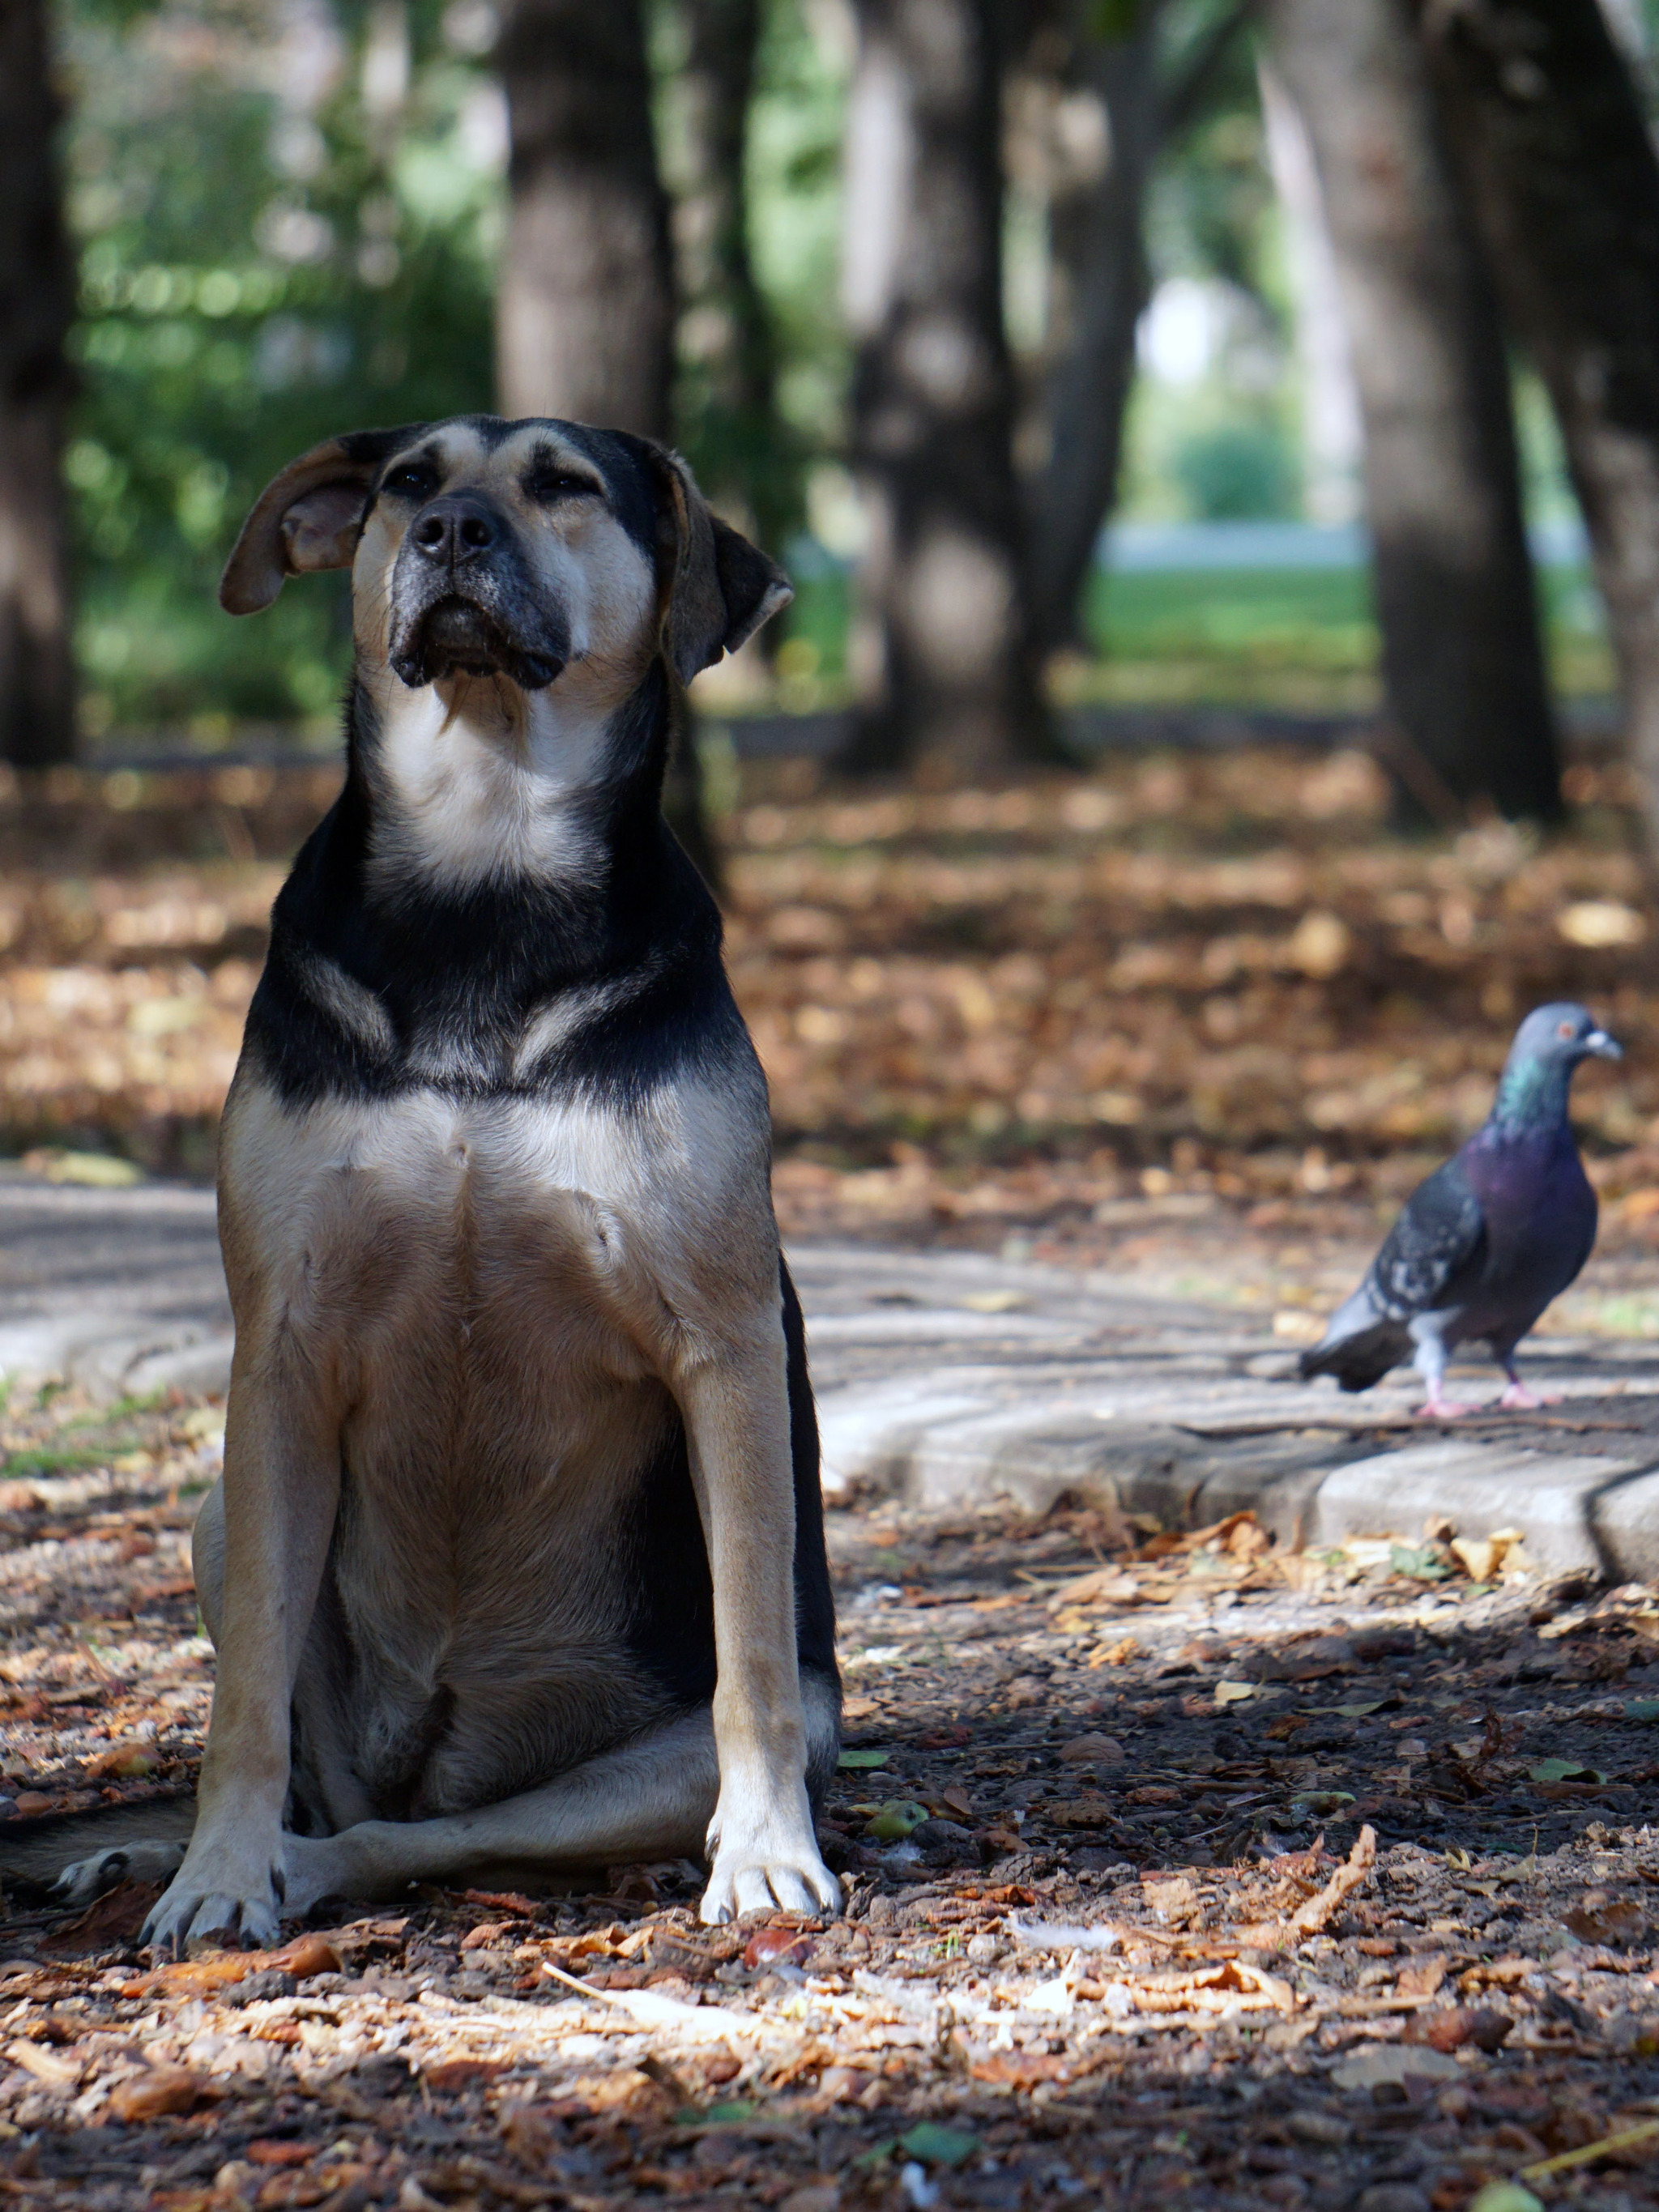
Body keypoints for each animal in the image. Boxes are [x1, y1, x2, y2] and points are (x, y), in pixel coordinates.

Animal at [55, 418, 845, 1955]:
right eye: (409, 482)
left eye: (564, 484)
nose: (451, 535)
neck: (486, 862)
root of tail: (442, 1759)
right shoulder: (281, 1354)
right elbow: (243, 1698)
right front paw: (214, 1872)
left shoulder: (721, 1345)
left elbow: (753, 1663)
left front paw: (768, 1854)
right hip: (218, 1517)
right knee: (328, 1783)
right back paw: (187, 1854)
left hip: (597, 1776)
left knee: (403, 1839)